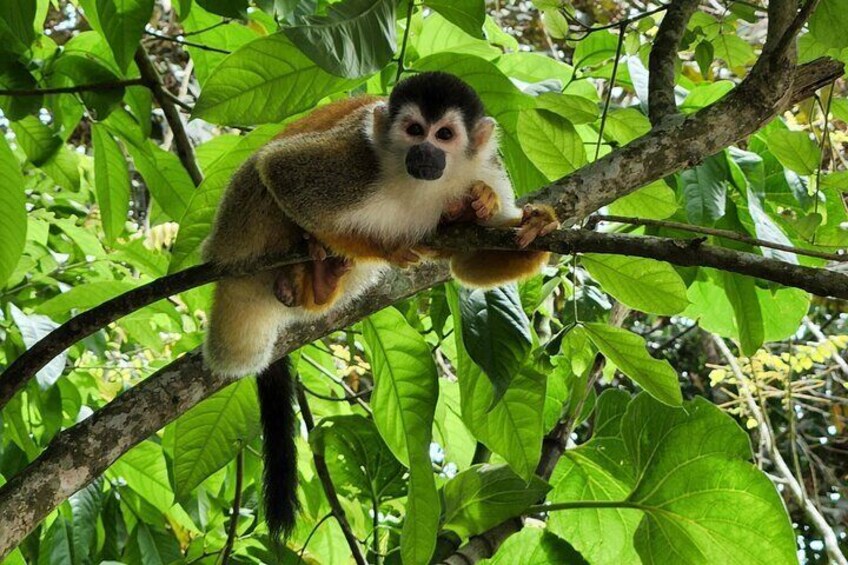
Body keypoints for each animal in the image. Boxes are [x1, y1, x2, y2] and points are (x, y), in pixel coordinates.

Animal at [201, 71, 559, 539]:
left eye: (444, 135)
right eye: (414, 130)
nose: (424, 152)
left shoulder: (488, 169)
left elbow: (467, 264)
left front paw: (535, 224)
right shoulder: (357, 163)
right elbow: (280, 168)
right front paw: (387, 248)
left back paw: (319, 284)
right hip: (241, 221)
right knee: (264, 174)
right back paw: (311, 265)